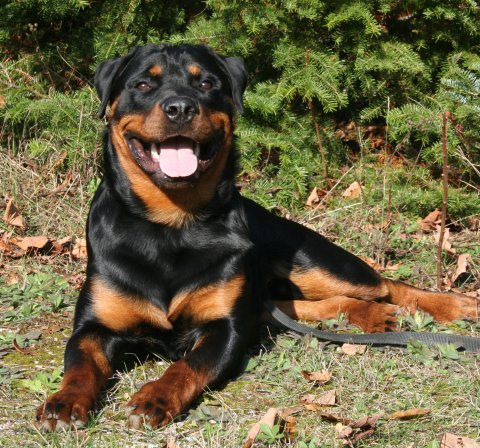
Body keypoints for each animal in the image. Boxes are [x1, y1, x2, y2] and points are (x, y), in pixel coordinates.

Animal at [36, 44, 479, 430]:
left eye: (206, 83)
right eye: (143, 84)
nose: (180, 107)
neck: (171, 224)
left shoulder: (225, 326)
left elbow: (186, 367)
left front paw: (154, 398)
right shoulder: (94, 326)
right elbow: (79, 365)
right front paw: (63, 403)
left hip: (314, 263)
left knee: (385, 284)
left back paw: (458, 305)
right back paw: (373, 316)